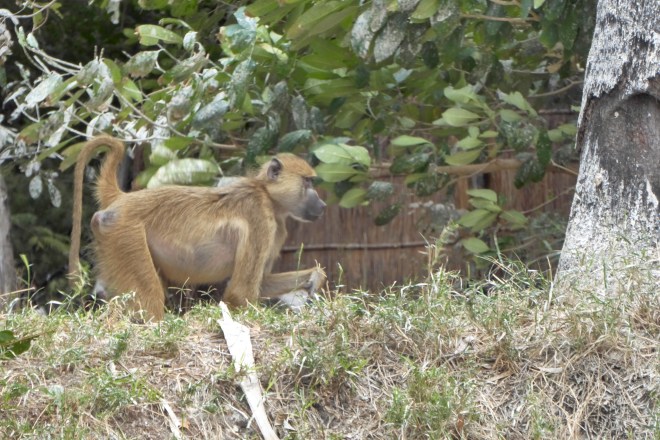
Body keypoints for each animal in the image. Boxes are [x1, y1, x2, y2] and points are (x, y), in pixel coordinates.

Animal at [69, 135, 326, 321]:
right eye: (307, 182)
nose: (322, 205)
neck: (268, 196)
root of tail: (123, 199)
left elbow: (261, 284)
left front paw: (314, 277)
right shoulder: (261, 220)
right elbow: (241, 292)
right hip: (123, 233)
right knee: (150, 296)